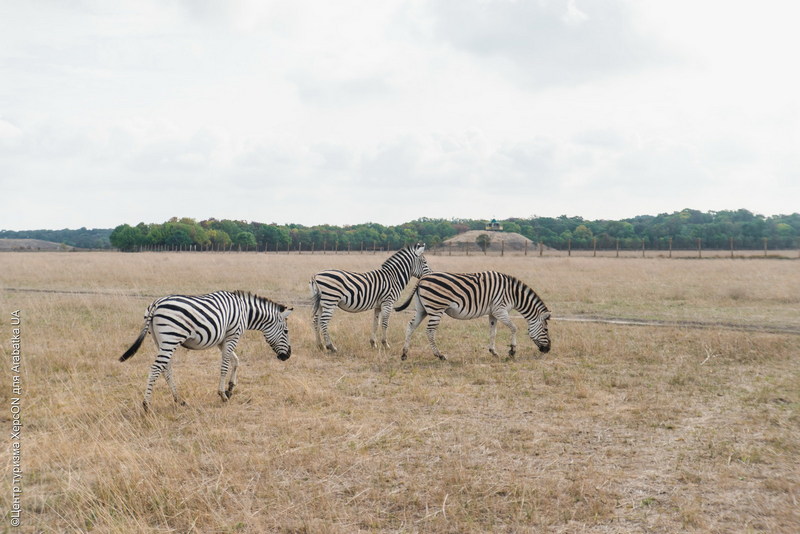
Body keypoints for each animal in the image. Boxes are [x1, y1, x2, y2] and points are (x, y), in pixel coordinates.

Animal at [119, 292, 294, 412]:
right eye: (286, 331)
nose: (287, 356)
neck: (245, 312)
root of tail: (156, 303)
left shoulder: (222, 340)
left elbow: (236, 361)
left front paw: (230, 388)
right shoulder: (233, 335)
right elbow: (225, 365)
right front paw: (222, 394)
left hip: (160, 341)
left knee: (166, 369)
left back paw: (179, 399)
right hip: (170, 338)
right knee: (156, 368)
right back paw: (146, 405)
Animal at [394, 272, 552, 364]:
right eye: (545, 329)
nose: (548, 350)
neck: (513, 294)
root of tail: (422, 279)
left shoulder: (493, 313)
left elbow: (493, 332)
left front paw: (493, 352)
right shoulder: (500, 310)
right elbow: (514, 328)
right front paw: (512, 351)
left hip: (422, 309)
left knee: (411, 326)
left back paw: (404, 354)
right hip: (436, 309)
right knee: (430, 331)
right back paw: (440, 355)